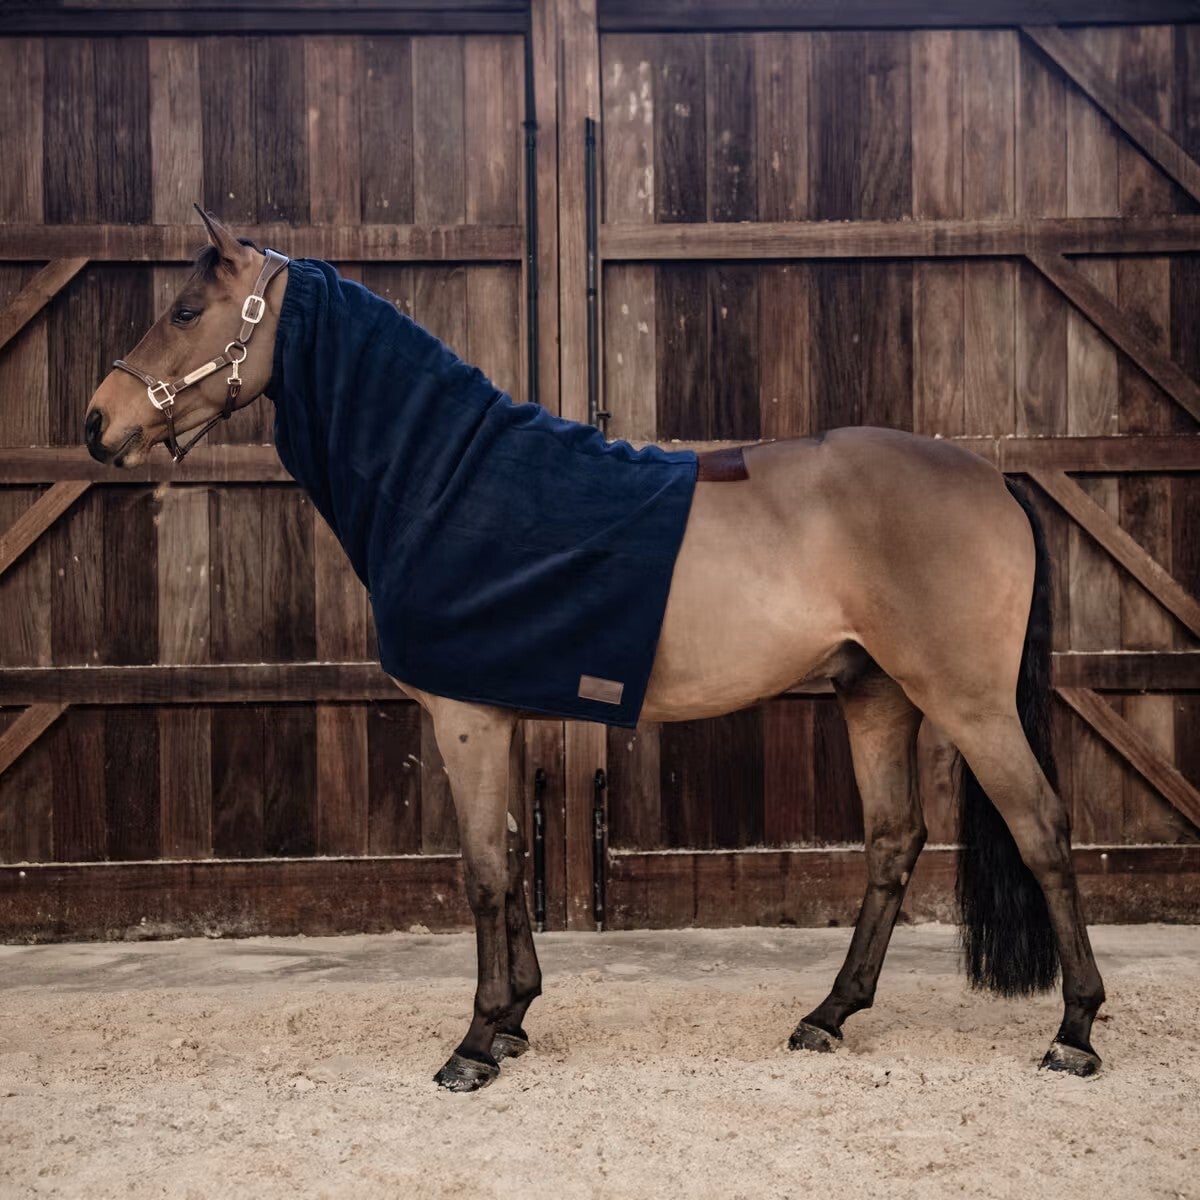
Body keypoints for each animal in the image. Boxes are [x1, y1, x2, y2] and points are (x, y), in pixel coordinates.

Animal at [84, 210, 1106, 1091]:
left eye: (185, 312)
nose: (98, 423)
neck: (449, 478)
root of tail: (993, 477)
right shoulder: (494, 713)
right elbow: (509, 858)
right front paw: (515, 1019)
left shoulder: (464, 718)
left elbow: (483, 874)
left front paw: (474, 1044)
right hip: (877, 694)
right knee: (894, 842)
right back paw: (829, 1015)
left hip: (967, 701)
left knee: (1043, 831)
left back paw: (1074, 1031)